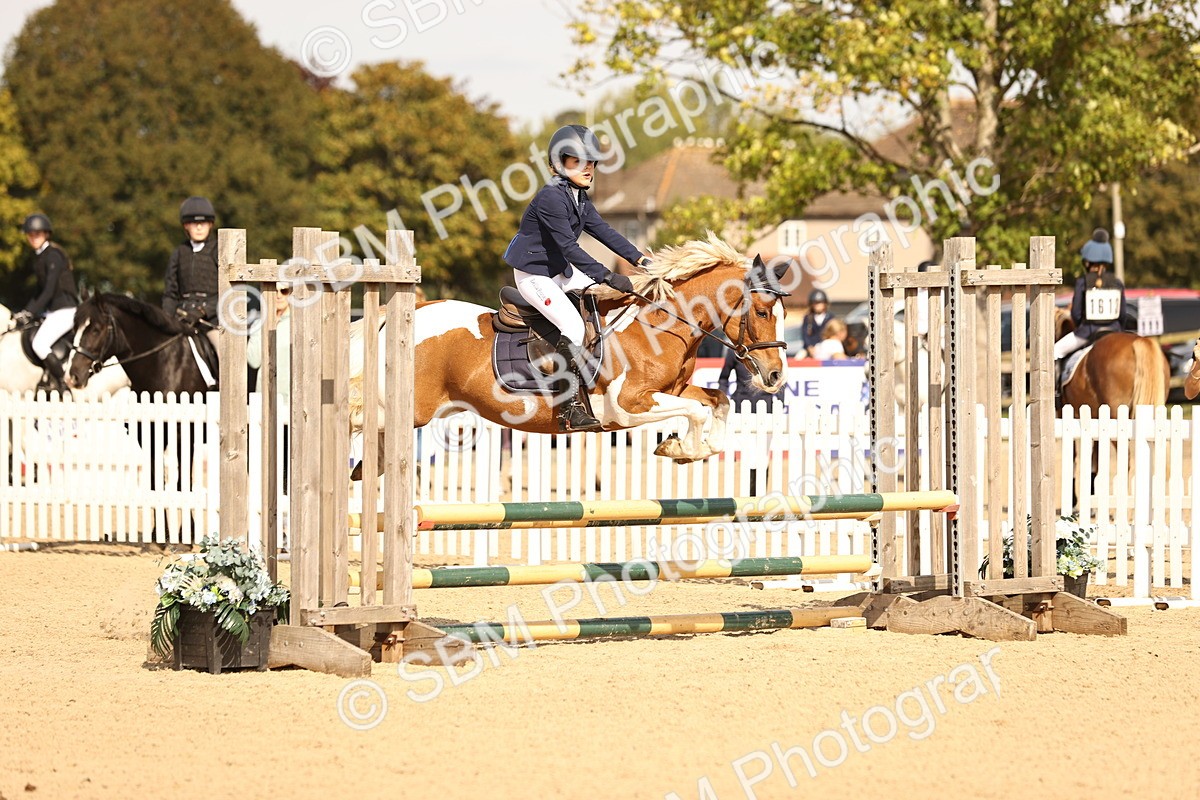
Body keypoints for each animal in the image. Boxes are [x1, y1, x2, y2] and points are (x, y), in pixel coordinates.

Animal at [349, 233, 788, 468]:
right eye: (762, 312)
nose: (775, 375)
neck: (659, 325)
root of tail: (401, 316)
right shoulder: (627, 405)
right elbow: (697, 411)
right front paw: (682, 449)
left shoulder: (671, 391)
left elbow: (718, 401)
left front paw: (692, 449)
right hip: (406, 411)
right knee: (357, 419)